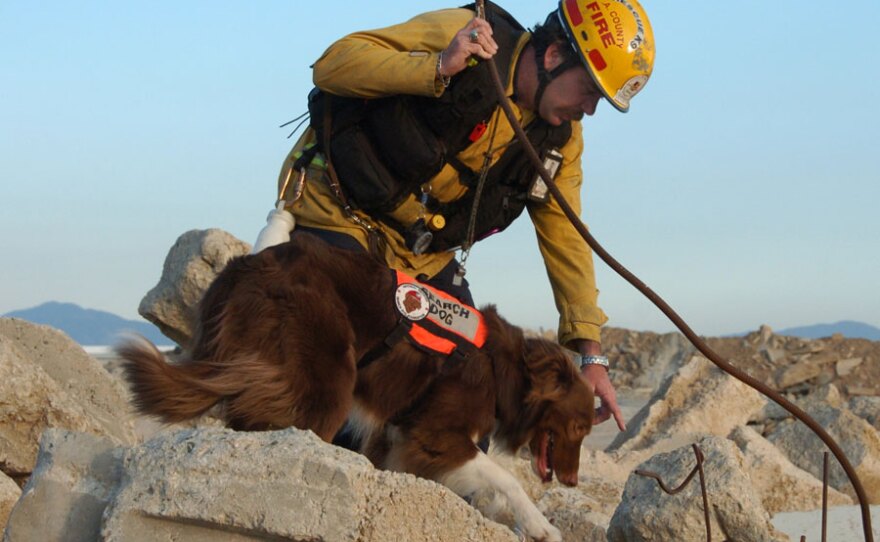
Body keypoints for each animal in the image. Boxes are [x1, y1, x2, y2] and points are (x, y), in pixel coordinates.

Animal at [118, 234, 592, 542]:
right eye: (580, 427)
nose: (572, 482)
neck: (502, 368)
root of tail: (243, 267)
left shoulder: (393, 438)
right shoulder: (432, 434)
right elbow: (505, 477)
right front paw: (541, 526)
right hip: (324, 386)